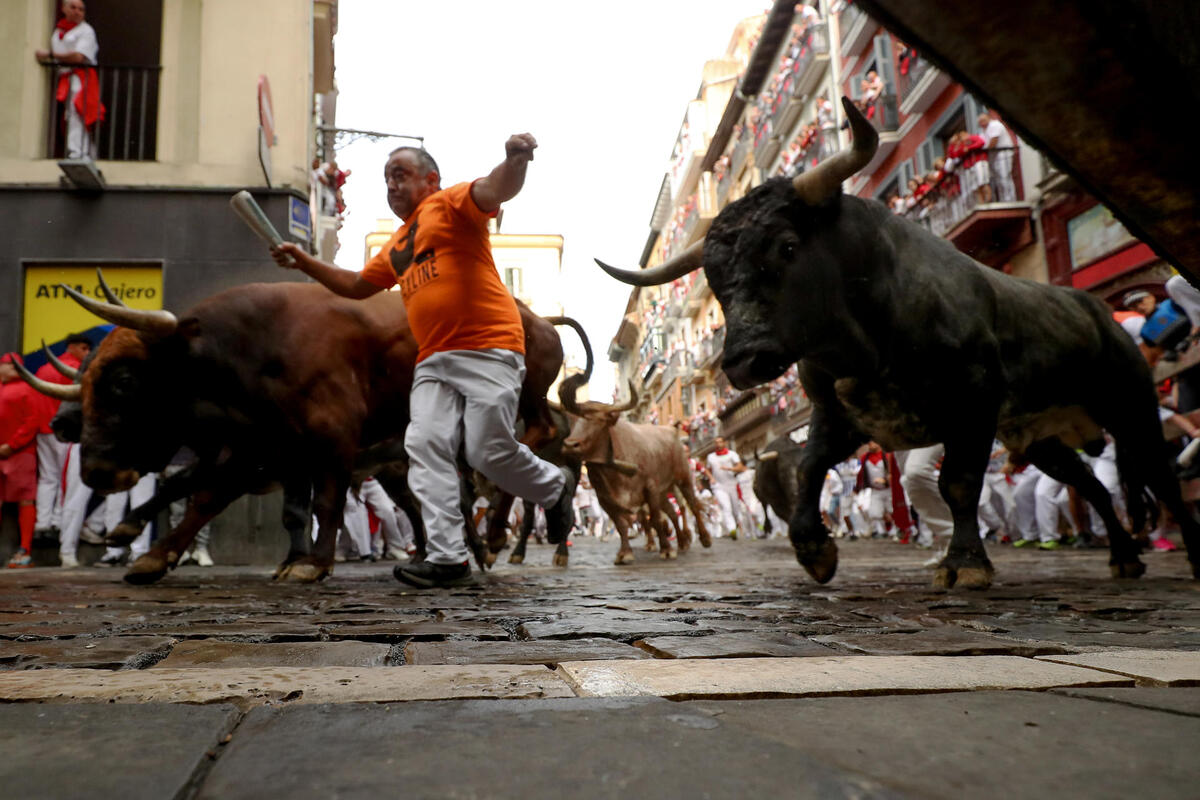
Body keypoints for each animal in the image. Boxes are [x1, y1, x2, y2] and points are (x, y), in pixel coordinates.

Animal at [556, 381, 705, 563]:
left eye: (599, 420)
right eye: (572, 420)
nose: (570, 445)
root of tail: (672, 431)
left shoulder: (650, 489)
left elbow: (655, 519)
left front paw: (666, 549)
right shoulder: (604, 498)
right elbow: (621, 525)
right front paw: (625, 552)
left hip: (682, 478)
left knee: (691, 505)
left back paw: (704, 538)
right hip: (663, 492)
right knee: (672, 513)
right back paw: (682, 542)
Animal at [597, 97, 1200, 592]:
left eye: (787, 246)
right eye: (716, 280)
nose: (744, 362)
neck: (865, 336)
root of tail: (1096, 311)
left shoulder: (972, 405)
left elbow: (959, 483)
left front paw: (964, 563)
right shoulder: (839, 417)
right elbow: (810, 469)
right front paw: (814, 550)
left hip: (1130, 408)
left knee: (1162, 478)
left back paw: (1185, 556)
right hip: (1040, 437)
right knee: (1093, 487)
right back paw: (1123, 557)